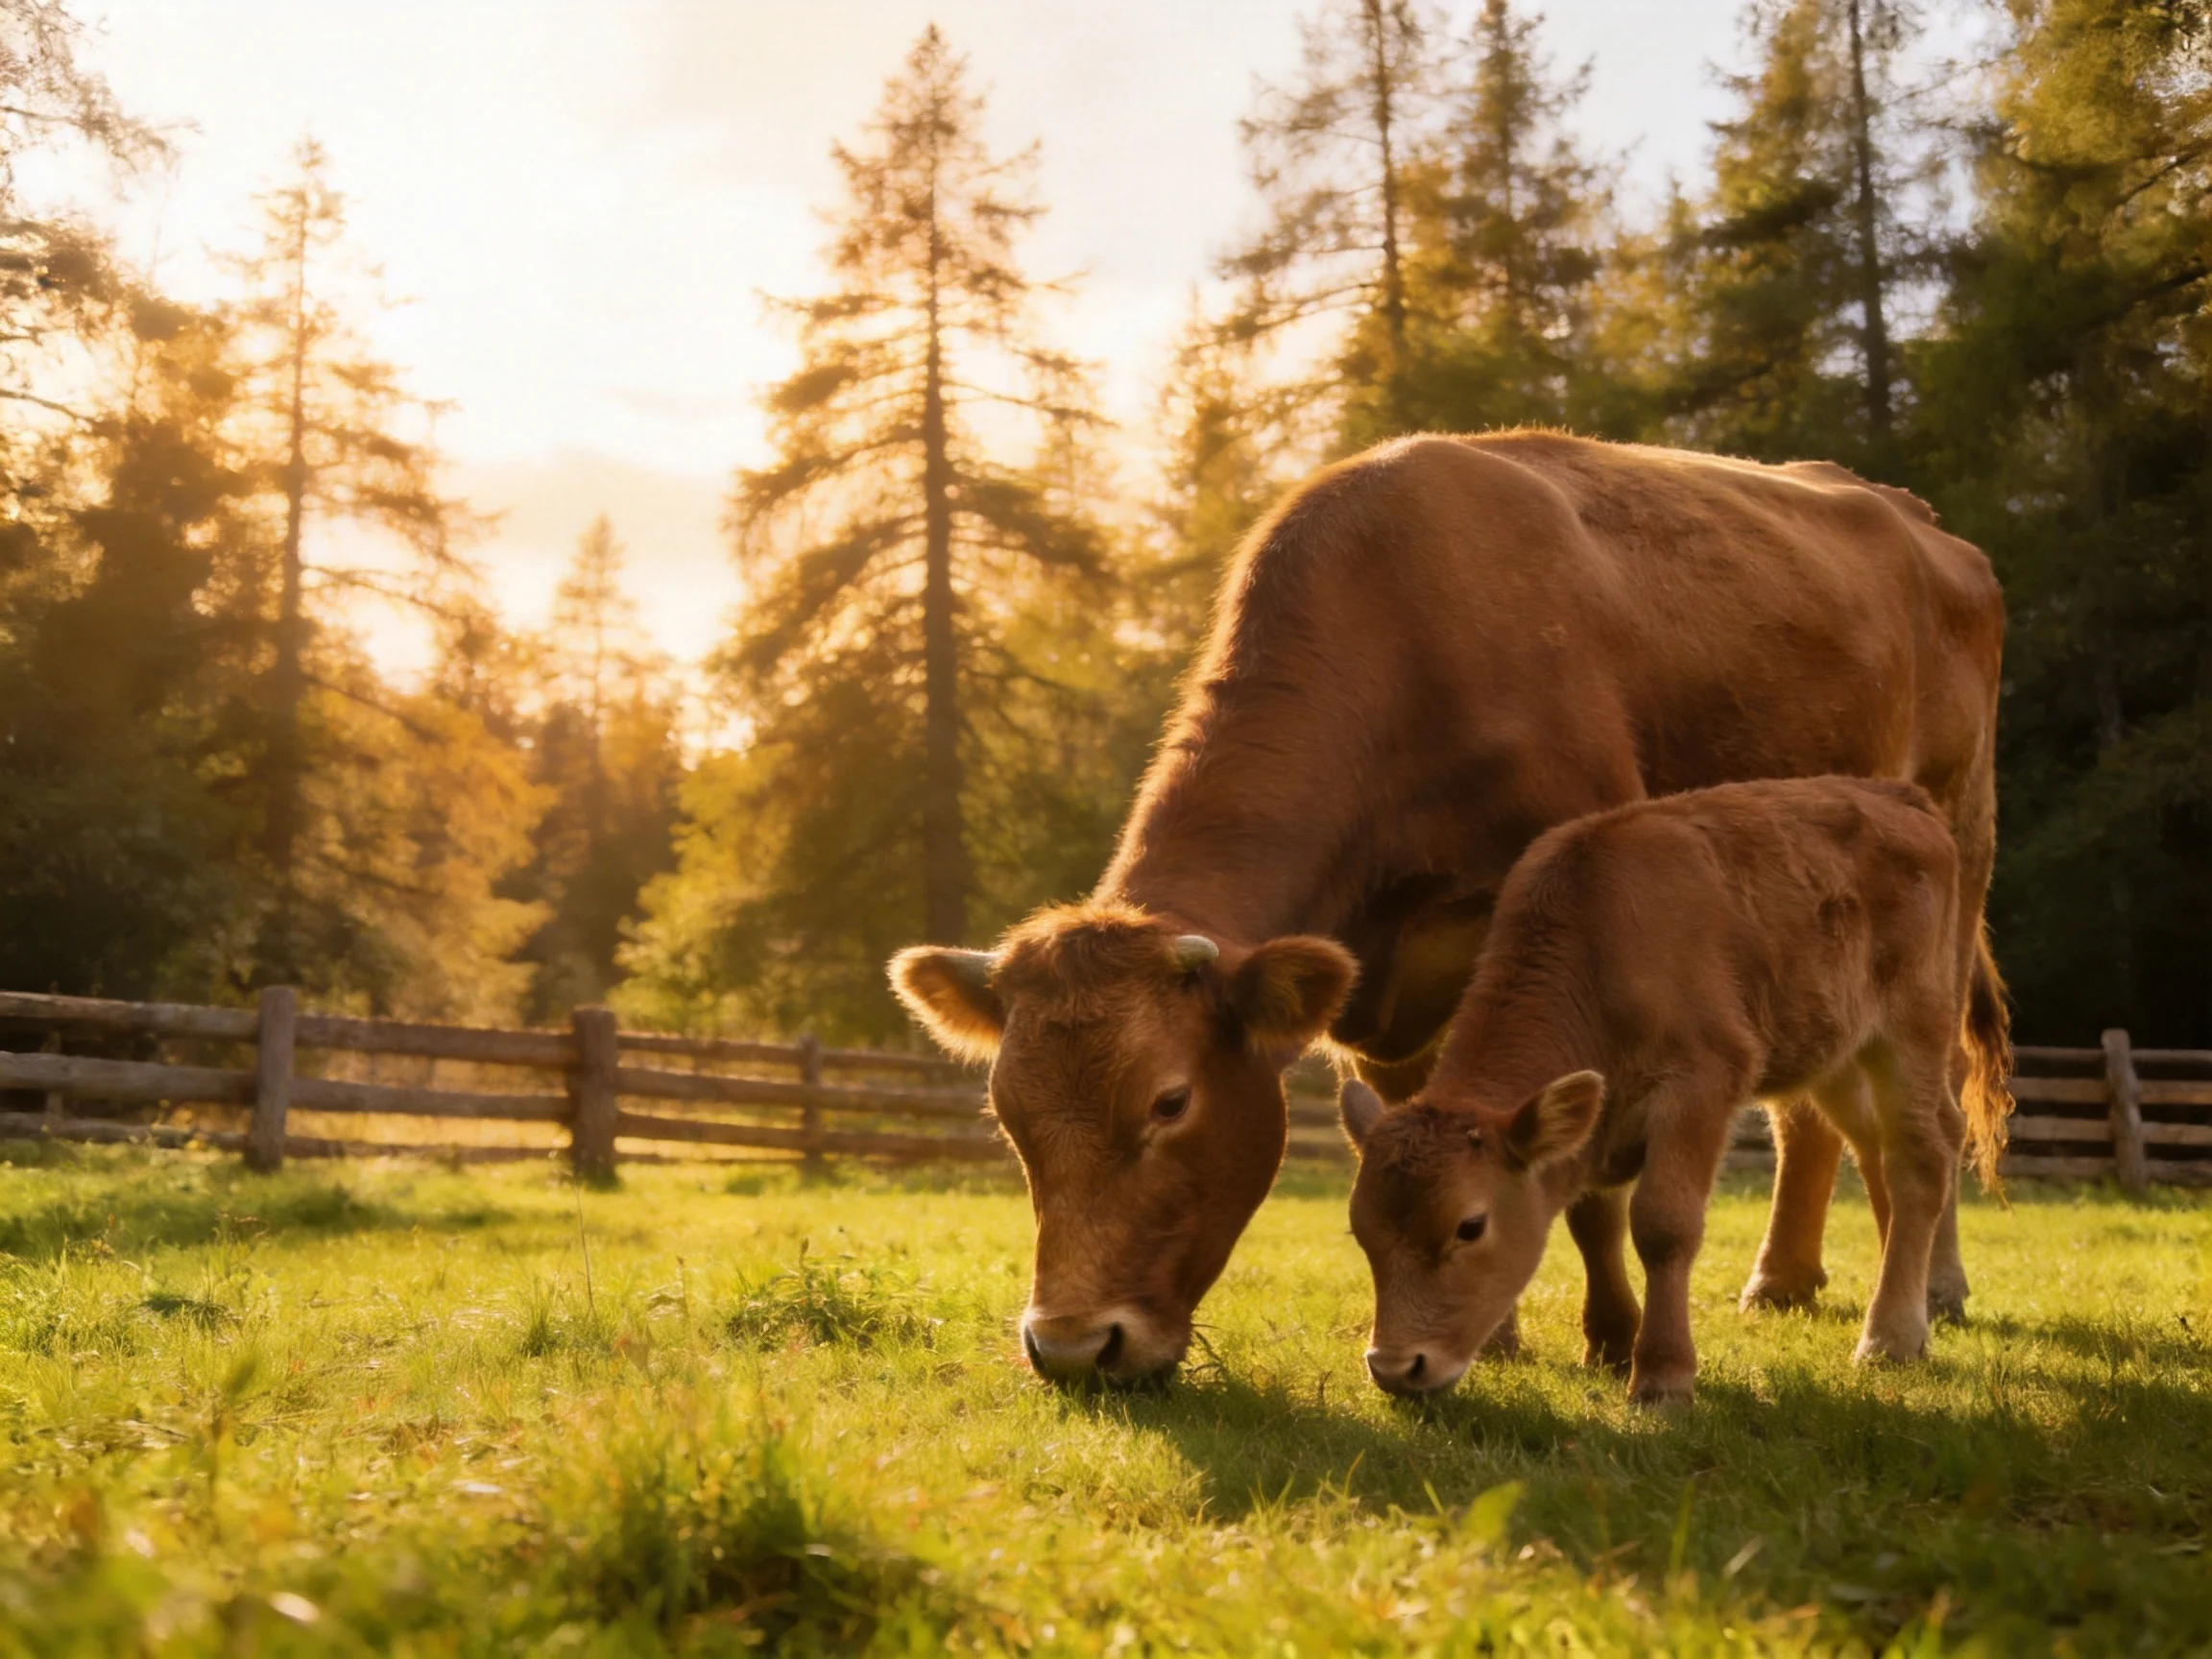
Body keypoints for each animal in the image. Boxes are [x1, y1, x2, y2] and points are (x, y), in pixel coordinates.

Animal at [1339, 776, 2011, 1405]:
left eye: (1470, 1226)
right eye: (1362, 1231)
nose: (1396, 1367)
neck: (1599, 948)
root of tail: (1901, 798)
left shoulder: (1700, 1086)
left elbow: (1663, 1224)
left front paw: (1662, 1378)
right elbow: (1597, 1217)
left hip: (1912, 1031)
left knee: (1921, 1155)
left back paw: (1889, 1338)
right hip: (1835, 1054)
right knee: (1873, 1147)